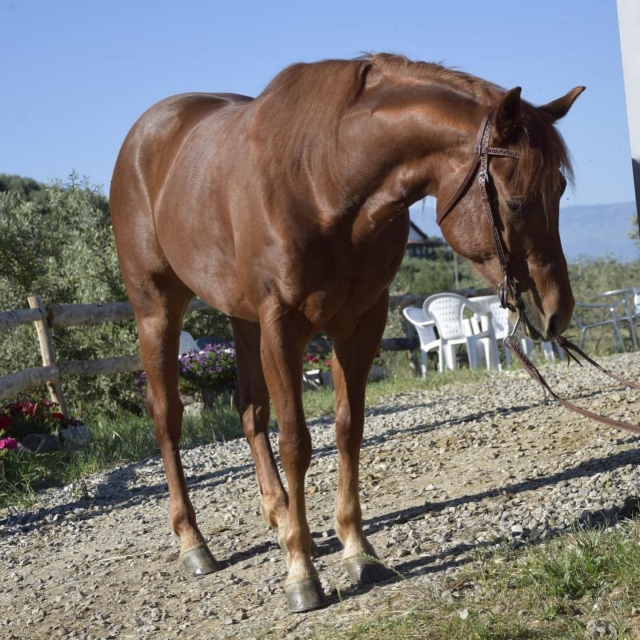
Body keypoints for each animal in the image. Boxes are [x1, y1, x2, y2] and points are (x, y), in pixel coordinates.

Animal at [109, 53, 584, 612]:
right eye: (515, 202)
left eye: (559, 191)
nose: (556, 311)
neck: (324, 177)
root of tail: (144, 135)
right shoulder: (282, 325)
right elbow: (296, 441)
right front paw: (301, 574)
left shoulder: (361, 323)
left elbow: (348, 428)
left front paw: (356, 548)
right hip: (158, 310)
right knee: (168, 419)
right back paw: (194, 544)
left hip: (242, 318)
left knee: (249, 410)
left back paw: (280, 515)